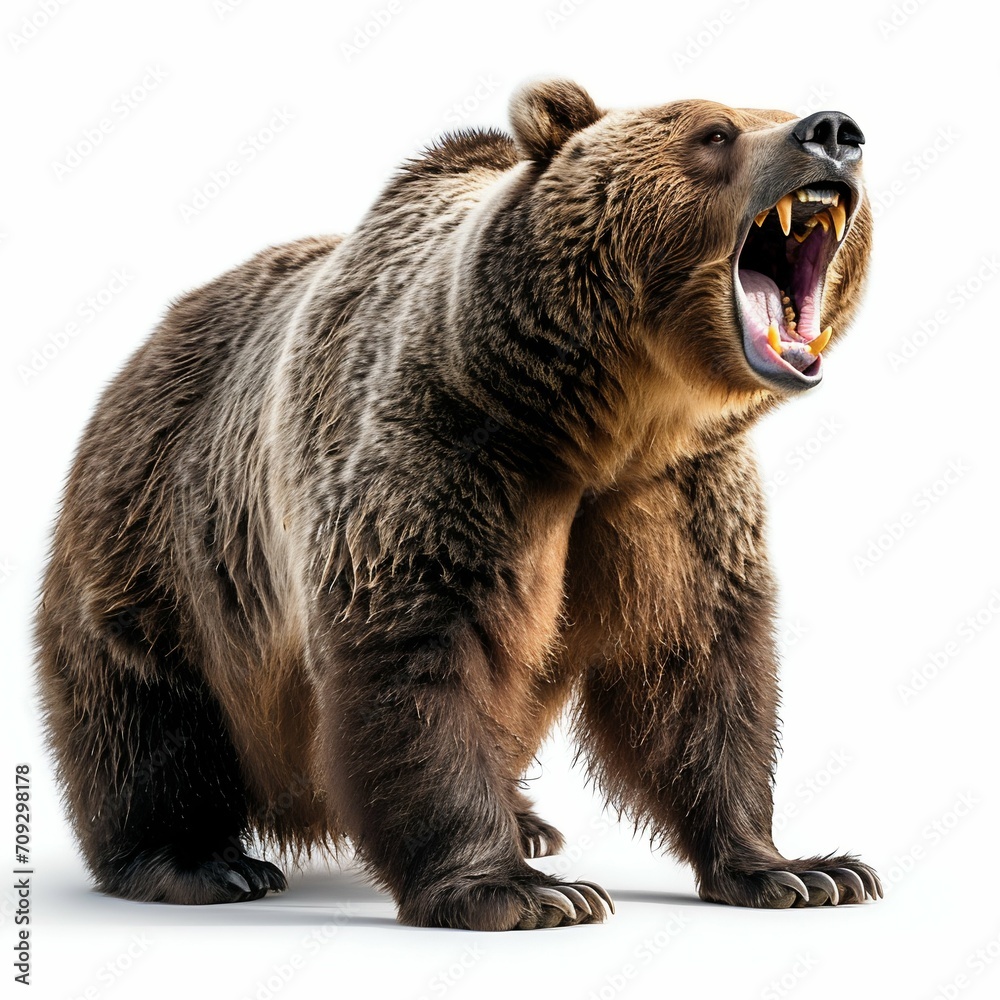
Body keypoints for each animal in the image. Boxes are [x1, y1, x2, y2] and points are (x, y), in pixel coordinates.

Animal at [36, 79, 880, 930]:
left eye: (771, 110)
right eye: (715, 132)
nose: (832, 131)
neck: (605, 425)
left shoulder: (677, 495)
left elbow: (696, 666)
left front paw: (803, 870)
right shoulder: (450, 450)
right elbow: (420, 648)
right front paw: (523, 892)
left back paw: (531, 821)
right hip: (162, 529)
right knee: (149, 711)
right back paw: (200, 861)